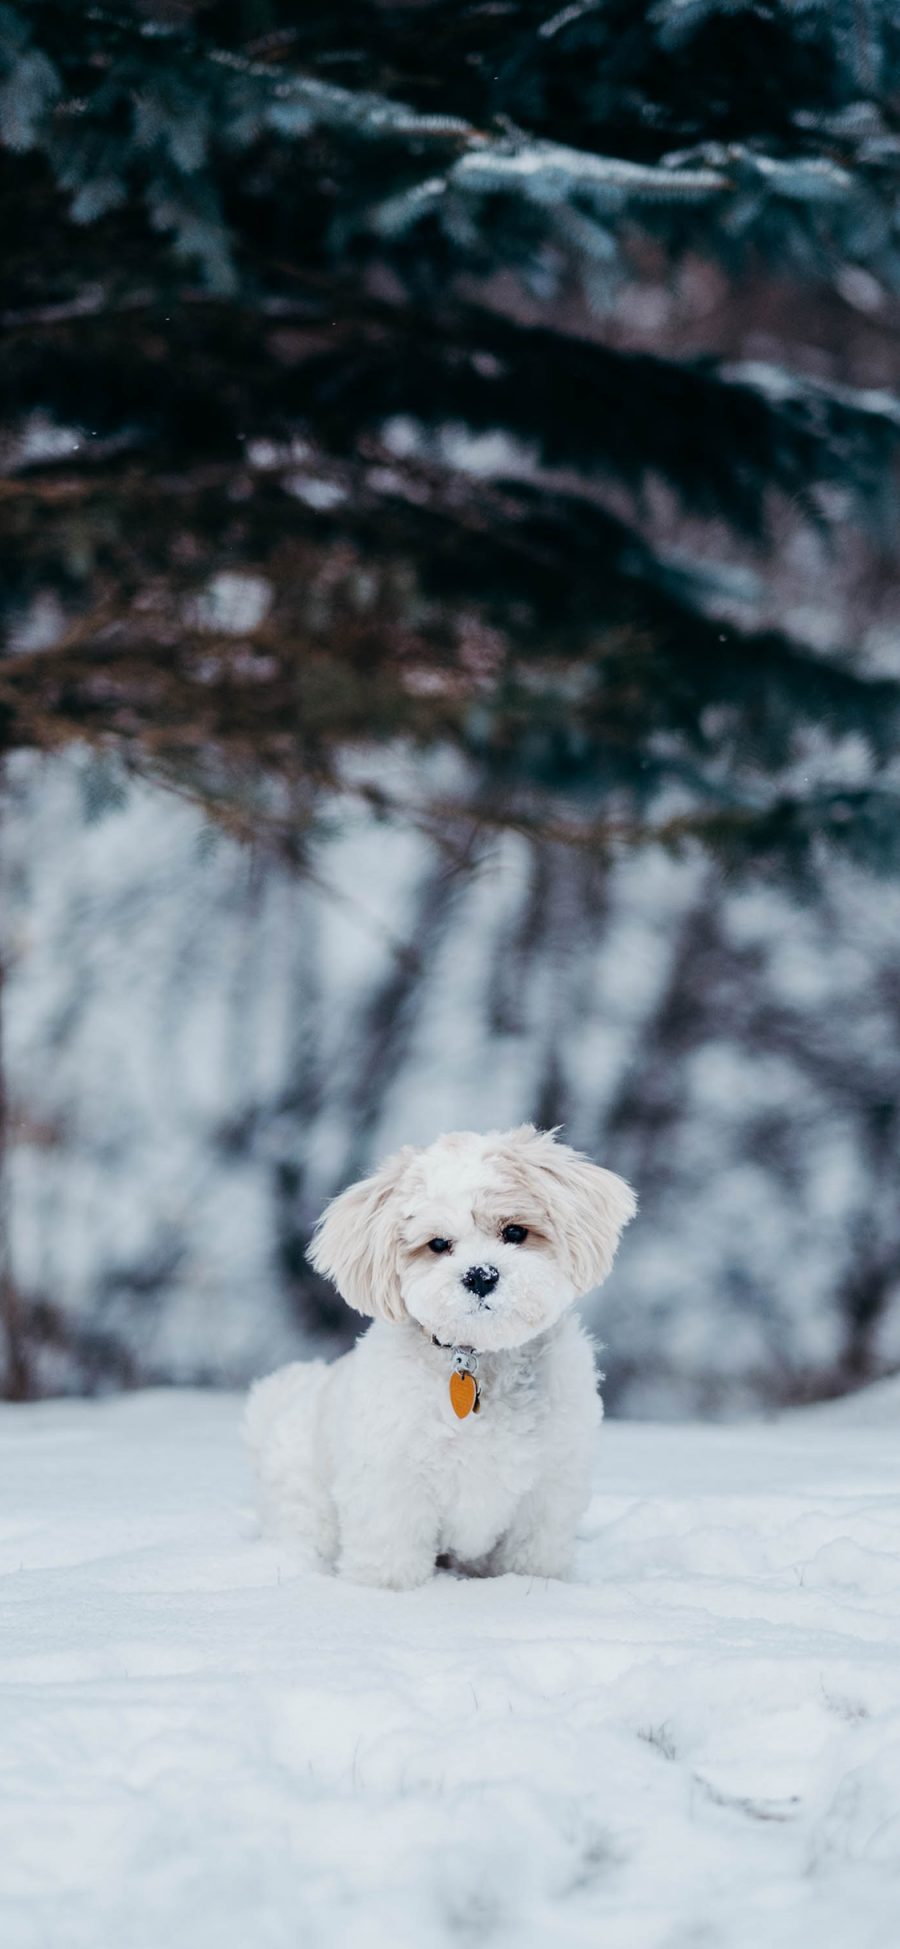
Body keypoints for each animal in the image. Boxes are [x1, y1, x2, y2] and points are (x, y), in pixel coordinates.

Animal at [246, 1122, 635, 1590]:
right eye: (437, 1244)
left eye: (515, 1232)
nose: (481, 1275)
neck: (480, 1359)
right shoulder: (391, 1482)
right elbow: (391, 1555)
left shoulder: (549, 1488)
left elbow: (533, 1557)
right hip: (305, 1499)